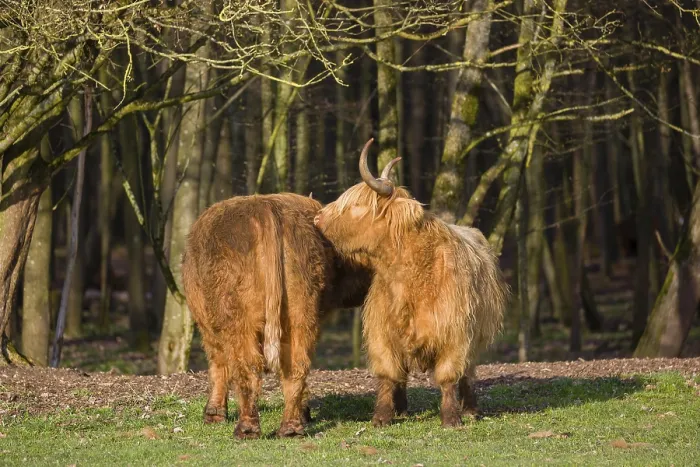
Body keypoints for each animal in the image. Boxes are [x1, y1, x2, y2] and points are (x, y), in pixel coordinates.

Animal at [181, 193, 373, 439]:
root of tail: (265, 207)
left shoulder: (207, 325)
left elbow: (218, 363)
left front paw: (213, 413)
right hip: (299, 314)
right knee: (296, 366)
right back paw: (290, 427)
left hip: (238, 319)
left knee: (247, 365)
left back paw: (247, 428)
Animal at [313, 138, 510, 428]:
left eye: (356, 205)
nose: (317, 219)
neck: (407, 278)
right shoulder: (382, 332)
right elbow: (388, 374)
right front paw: (382, 416)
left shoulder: (454, 333)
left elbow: (448, 376)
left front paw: (451, 418)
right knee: (403, 374)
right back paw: (402, 409)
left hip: (476, 336)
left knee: (468, 372)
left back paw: (471, 409)